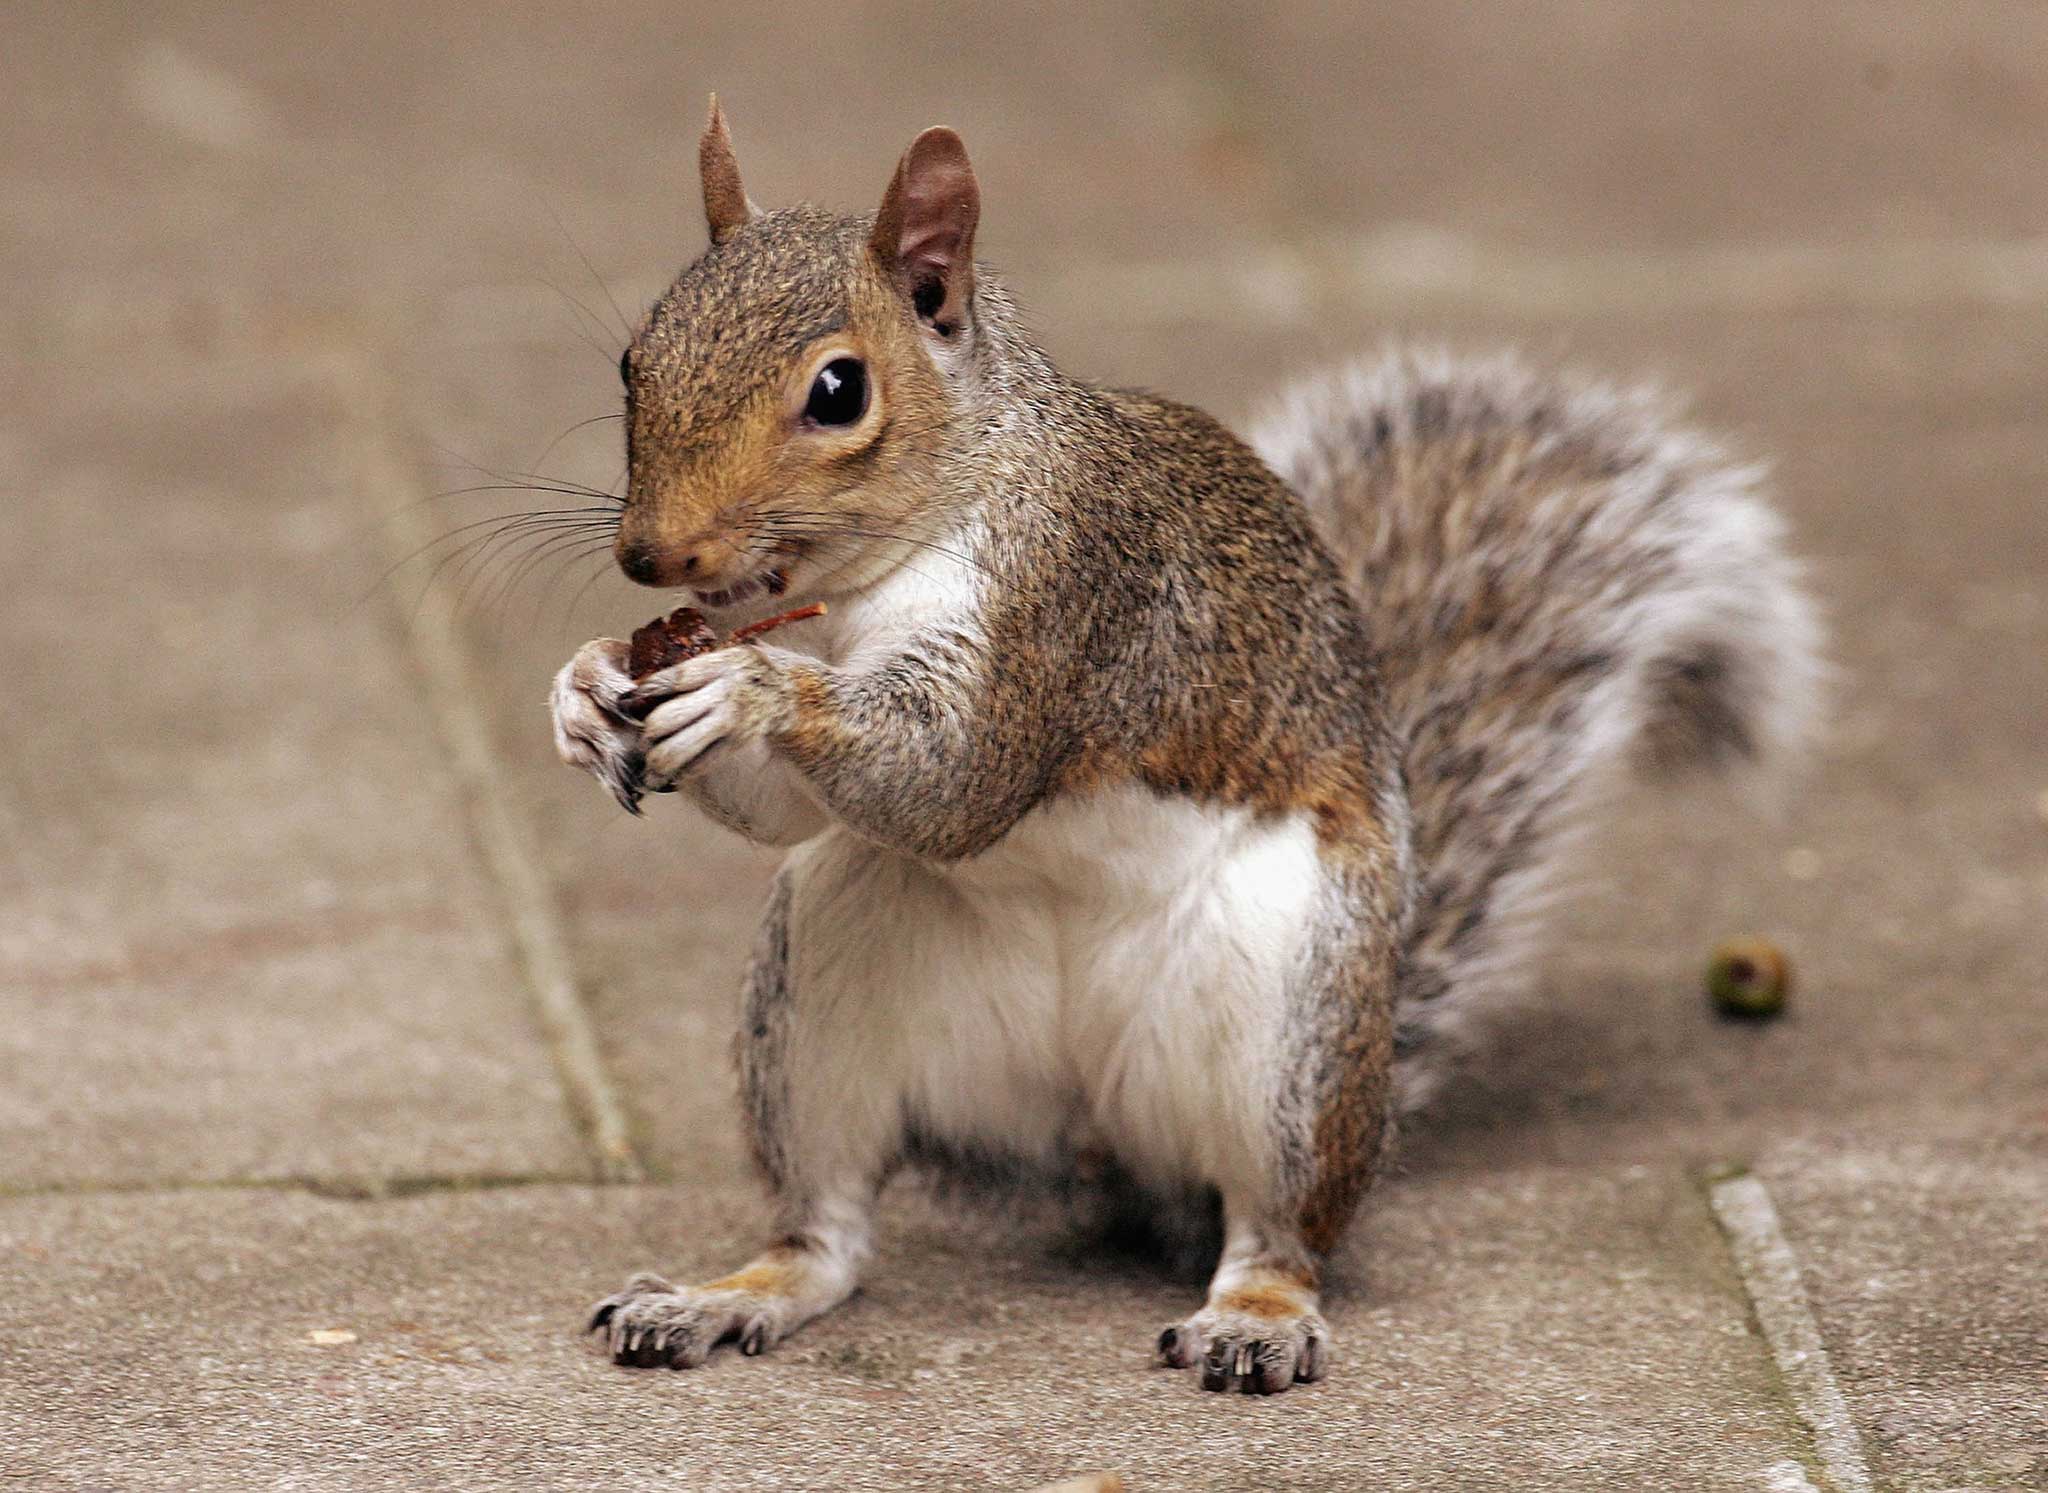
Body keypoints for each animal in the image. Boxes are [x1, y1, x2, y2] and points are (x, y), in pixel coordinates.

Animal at [548, 98, 1826, 1392]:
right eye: (633, 358)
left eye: (839, 389)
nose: (651, 557)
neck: (857, 581)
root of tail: (1090, 1131)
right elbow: (788, 810)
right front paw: (586, 684)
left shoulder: (1069, 603)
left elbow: (953, 780)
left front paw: (751, 688)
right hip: (824, 991)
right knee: (828, 1231)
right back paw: (720, 1295)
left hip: (1291, 1028)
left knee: (1277, 1226)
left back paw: (1255, 1316)